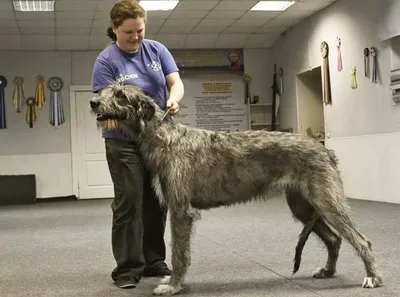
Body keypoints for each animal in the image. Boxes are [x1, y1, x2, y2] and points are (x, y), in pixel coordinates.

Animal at [90, 82, 382, 294]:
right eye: (107, 89)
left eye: (120, 94)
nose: (93, 102)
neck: (164, 137)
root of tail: (325, 149)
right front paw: (174, 283)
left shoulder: (181, 210)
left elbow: (179, 253)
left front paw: (173, 286)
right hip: (302, 205)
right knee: (334, 238)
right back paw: (328, 271)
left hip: (326, 200)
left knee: (361, 239)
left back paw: (372, 277)